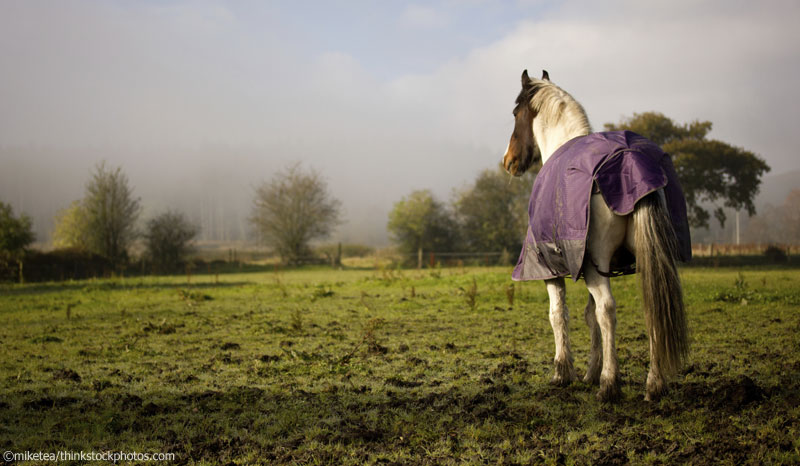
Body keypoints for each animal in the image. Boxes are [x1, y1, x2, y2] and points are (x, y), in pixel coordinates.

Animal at [502, 69, 690, 402]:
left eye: (515, 113)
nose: (508, 161)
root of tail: (632, 162)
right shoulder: (594, 267)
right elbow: (589, 316)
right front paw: (590, 371)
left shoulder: (553, 268)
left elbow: (559, 314)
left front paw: (563, 372)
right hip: (645, 259)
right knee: (654, 308)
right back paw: (654, 384)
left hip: (595, 262)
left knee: (607, 311)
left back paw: (609, 384)